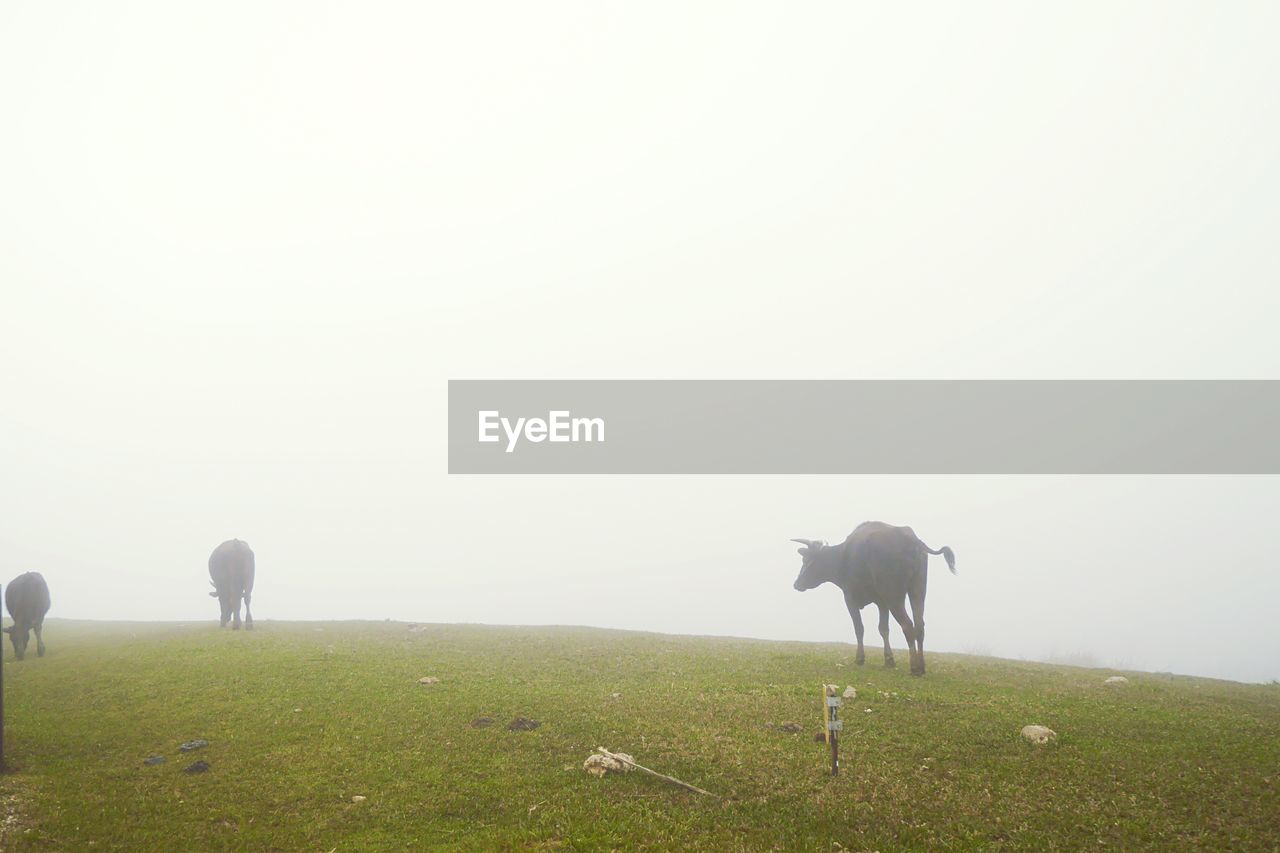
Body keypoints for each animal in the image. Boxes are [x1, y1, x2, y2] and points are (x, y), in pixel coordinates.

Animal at [788, 522, 962, 676]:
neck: (843, 555)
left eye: (805, 560)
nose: (796, 583)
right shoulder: (882, 603)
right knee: (919, 626)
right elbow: (883, 629)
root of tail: (909, 537)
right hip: (918, 591)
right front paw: (889, 660)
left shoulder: (850, 598)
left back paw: (914, 668)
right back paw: (922, 666)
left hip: (894, 596)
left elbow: (859, 628)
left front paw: (860, 658)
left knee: (908, 625)